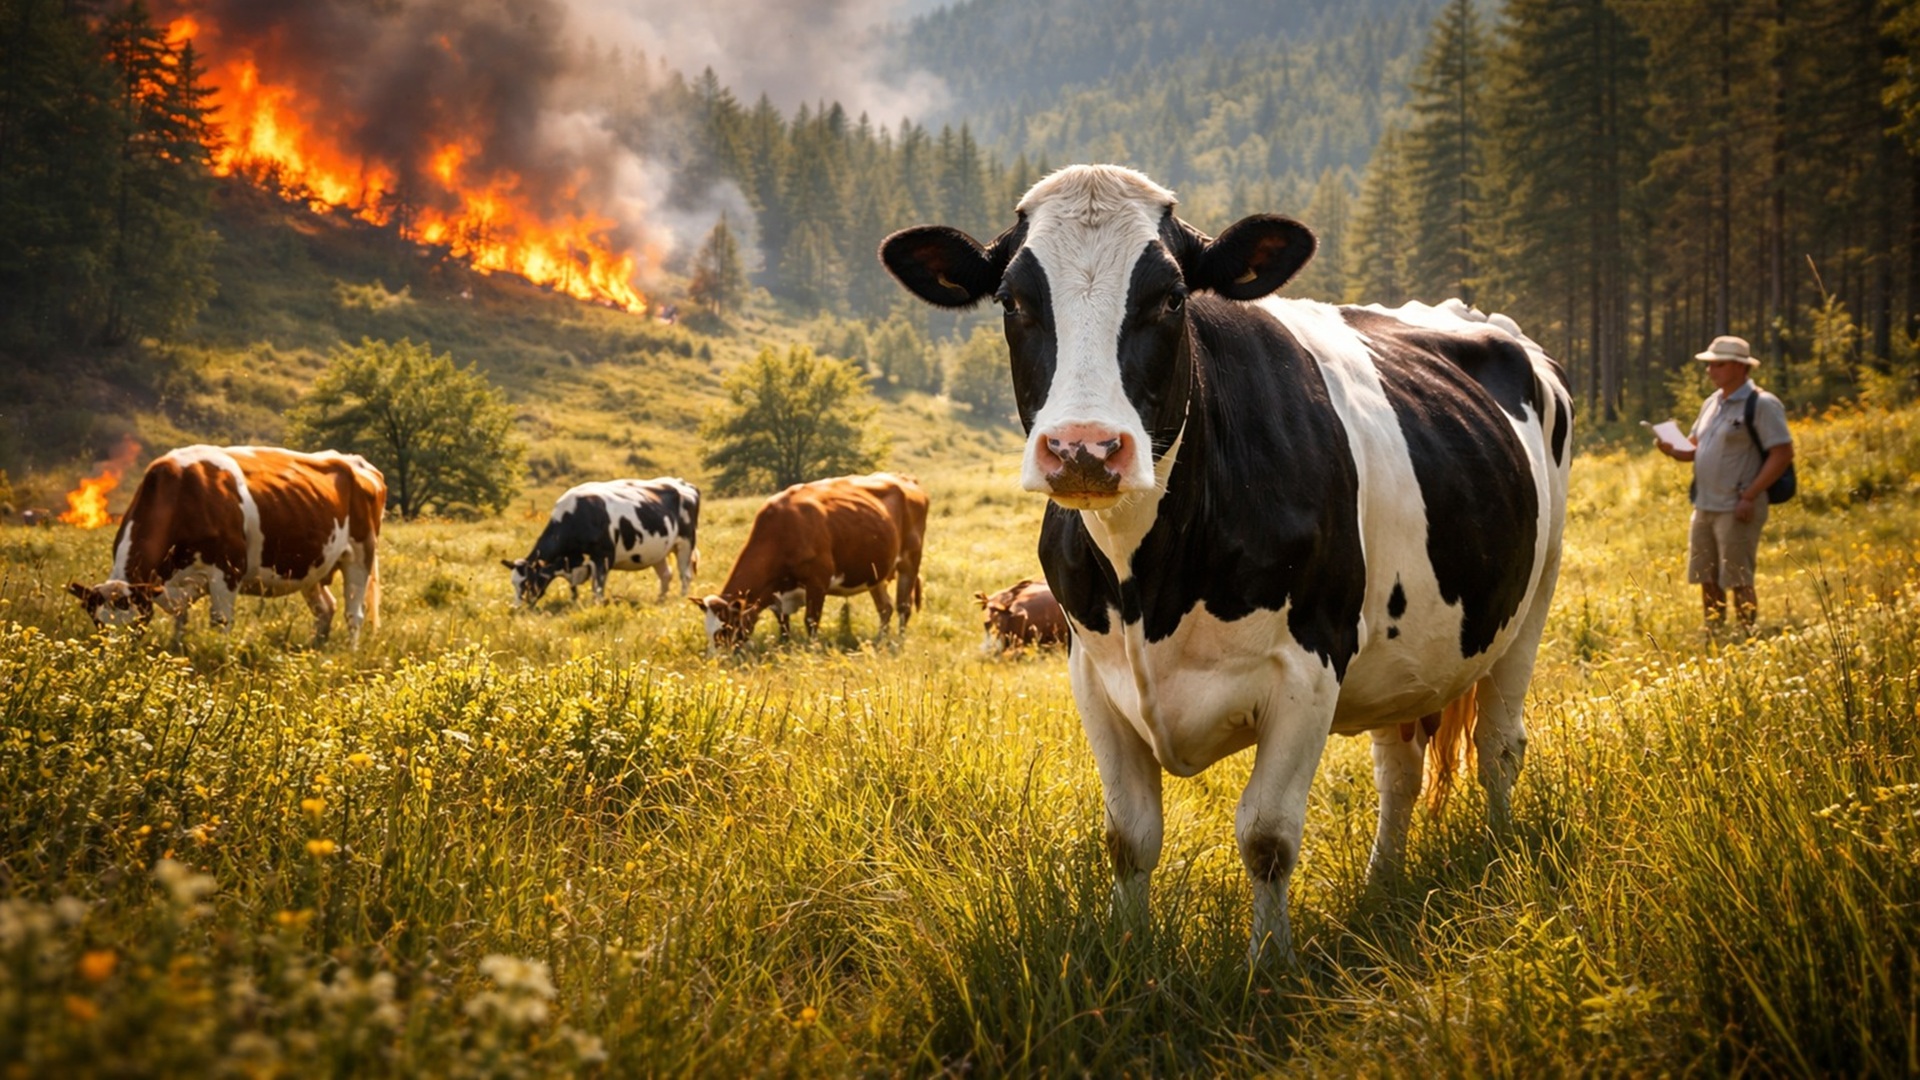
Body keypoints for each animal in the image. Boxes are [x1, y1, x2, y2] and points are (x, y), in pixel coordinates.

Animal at [66, 445, 386, 648]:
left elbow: (220, 623)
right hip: (312, 565)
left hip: (360, 554)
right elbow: (180, 620)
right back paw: (315, 649)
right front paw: (176, 651)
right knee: (325, 609)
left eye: (136, 626)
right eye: (97, 624)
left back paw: (348, 654)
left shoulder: (227, 570)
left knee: (353, 614)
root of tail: (355, 461)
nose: (113, 664)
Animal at [502, 478, 700, 607]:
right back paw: (660, 600)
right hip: (658, 550)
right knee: (666, 574)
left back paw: (682, 598)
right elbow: (576, 589)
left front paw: (596, 606)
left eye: (526, 582)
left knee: (685, 574)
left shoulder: (603, 557)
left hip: (685, 542)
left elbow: (598, 587)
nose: (516, 608)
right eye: (513, 583)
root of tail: (683, 483)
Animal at [691, 473, 928, 650]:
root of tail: (905, 478)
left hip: (910, 561)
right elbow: (783, 624)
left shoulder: (817, 582)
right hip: (876, 572)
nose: (717, 659)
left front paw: (812, 649)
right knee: (885, 608)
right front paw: (784, 646)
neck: (781, 531)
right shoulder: (775, 593)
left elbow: (811, 620)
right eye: (708, 630)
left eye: (725, 628)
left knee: (903, 606)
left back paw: (898, 641)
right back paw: (880, 640)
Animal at [881, 164, 1572, 964]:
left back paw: (1498, 858)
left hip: (1534, 599)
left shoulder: (1310, 666)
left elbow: (1267, 836)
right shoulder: (1093, 672)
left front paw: (1268, 964)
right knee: (1399, 770)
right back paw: (1380, 887)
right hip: (1406, 651)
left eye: (1171, 297)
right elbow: (1128, 836)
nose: (1084, 447)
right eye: (1013, 300)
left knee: (1499, 745)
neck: (1150, 581)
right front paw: (1128, 951)